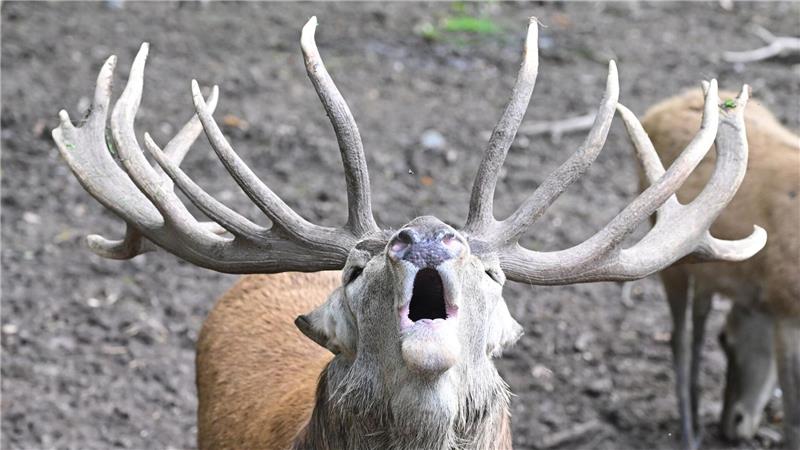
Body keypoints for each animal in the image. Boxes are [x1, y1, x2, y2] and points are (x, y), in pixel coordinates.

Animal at [639, 88, 800, 450]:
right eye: (724, 342)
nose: (732, 426)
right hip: (672, 259)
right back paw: (689, 433)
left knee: (698, 324)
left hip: (705, 268)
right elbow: (793, 413)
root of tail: (657, 109)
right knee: (680, 338)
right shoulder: (784, 305)